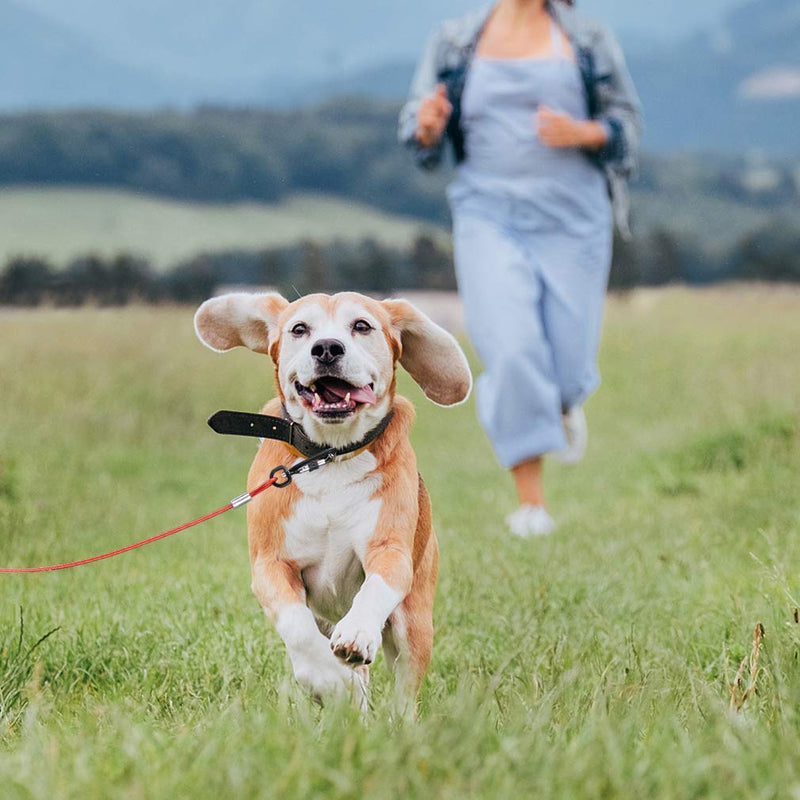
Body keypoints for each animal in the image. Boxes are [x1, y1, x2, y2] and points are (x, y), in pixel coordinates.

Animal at [194, 292, 472, 708]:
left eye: (361, 325)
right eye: (299, 329)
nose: (326, 348)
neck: (330, 456)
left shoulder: (390, 552)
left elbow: (375, 588)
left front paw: (356, 634)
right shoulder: (270, 565)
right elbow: (296, 626)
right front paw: (329, 679)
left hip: (414, 622)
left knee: (405, 694)